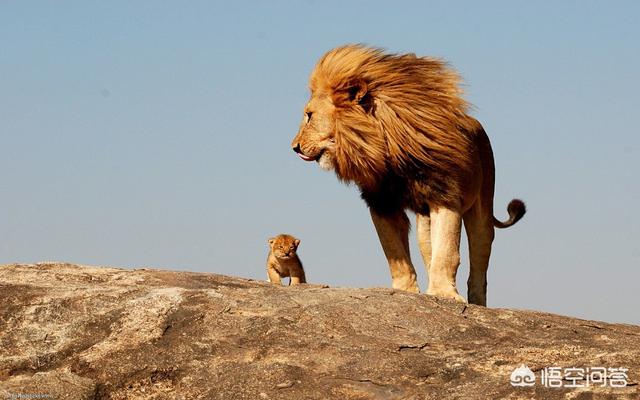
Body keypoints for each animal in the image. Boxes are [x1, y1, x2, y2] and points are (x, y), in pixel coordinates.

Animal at [292, 45, 524, 304]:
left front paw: (444, 294)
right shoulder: (382, 202)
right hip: (424, 224)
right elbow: (395, 253)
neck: (386, 148)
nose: (295, 147)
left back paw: (477, 302)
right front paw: (406, 291)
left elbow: (447, 252)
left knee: (479, 258)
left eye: (309, 115)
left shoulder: (445, 195)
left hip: (482, 208)